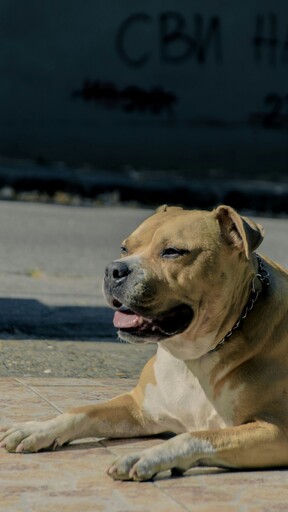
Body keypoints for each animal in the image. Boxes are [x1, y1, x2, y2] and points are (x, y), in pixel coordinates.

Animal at [0, 204, 288, 480]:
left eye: (172, 252)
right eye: (124, 247)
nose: (113, 269)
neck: (194, 358)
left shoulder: (276, 431)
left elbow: (195, 436)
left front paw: (143, 457)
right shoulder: (138, 408)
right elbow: (82, 411)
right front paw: (36, 428)